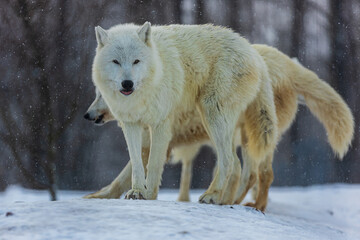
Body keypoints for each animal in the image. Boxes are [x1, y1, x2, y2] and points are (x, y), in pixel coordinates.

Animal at [86, 41, 352, 210]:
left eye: (100, 95)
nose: (87, 115)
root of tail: (289, 64)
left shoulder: (156, 140)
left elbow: (125, 174)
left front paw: (105, 195)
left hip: (240, 131)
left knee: (250, 172)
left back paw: (234, 202)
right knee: (259, 173)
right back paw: (246, 203)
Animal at [90, 22, 276, 204]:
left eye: (136, 61)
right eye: (116, 61)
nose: (127, 83)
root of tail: (252, 51)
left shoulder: (160, 124)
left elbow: (153, 163)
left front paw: (149, 195)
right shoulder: (131, 124)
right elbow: (136, 163)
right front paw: (137, 191)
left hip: (212, 117)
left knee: (229, 161)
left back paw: (212, 195)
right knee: (236, 163)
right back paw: (223, 200)